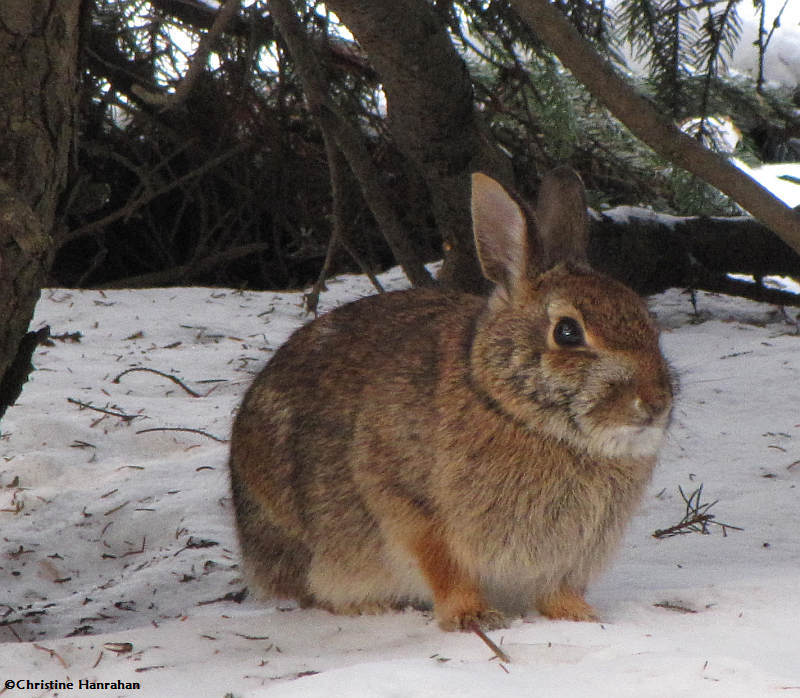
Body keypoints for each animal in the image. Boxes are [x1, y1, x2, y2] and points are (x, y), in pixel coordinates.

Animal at [228, 166, 672, 628]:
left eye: (647, 321)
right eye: (568, 332)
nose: (655, 403)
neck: (511, 409)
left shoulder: (570, 556)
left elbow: (558, 588)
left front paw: (580, 616)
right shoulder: (411, 505)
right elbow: (444, 566)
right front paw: (472, 616)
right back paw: (366, 605)